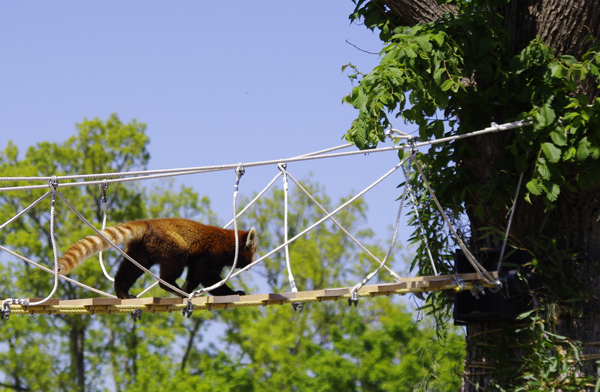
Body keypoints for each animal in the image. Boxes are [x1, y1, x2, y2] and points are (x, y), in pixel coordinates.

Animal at [56, 219, 260, 298]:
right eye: (253, 254)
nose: (251, 265)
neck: (230, 243)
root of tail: (148, 223)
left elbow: (212, 280)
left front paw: (233, 292)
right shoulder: (211, 254)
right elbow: (199, 273)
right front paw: (187, 290)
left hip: (141, 249)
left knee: (132, 268)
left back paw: (122, 291)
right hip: (170, 243)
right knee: (176, 261)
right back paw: (173, 287)